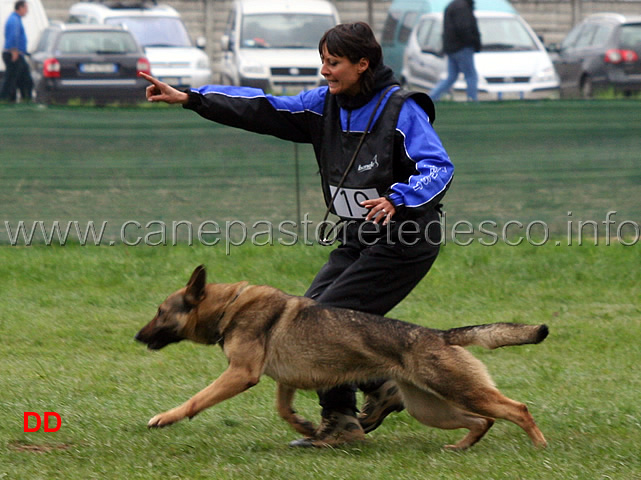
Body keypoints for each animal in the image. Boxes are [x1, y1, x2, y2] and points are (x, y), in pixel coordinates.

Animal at [135, 266, 544, 450]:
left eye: (160, 312)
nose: (137, 337)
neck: (228, 308)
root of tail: (440, 335)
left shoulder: (240, 374)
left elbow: (196, 400)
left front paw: (165, 418)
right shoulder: (283, 380)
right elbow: (284, 409)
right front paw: (307, 429)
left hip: (461, 392)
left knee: (517, 408)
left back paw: (539, 445)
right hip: (429, 408)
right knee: (481, 421)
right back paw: (460, 447)